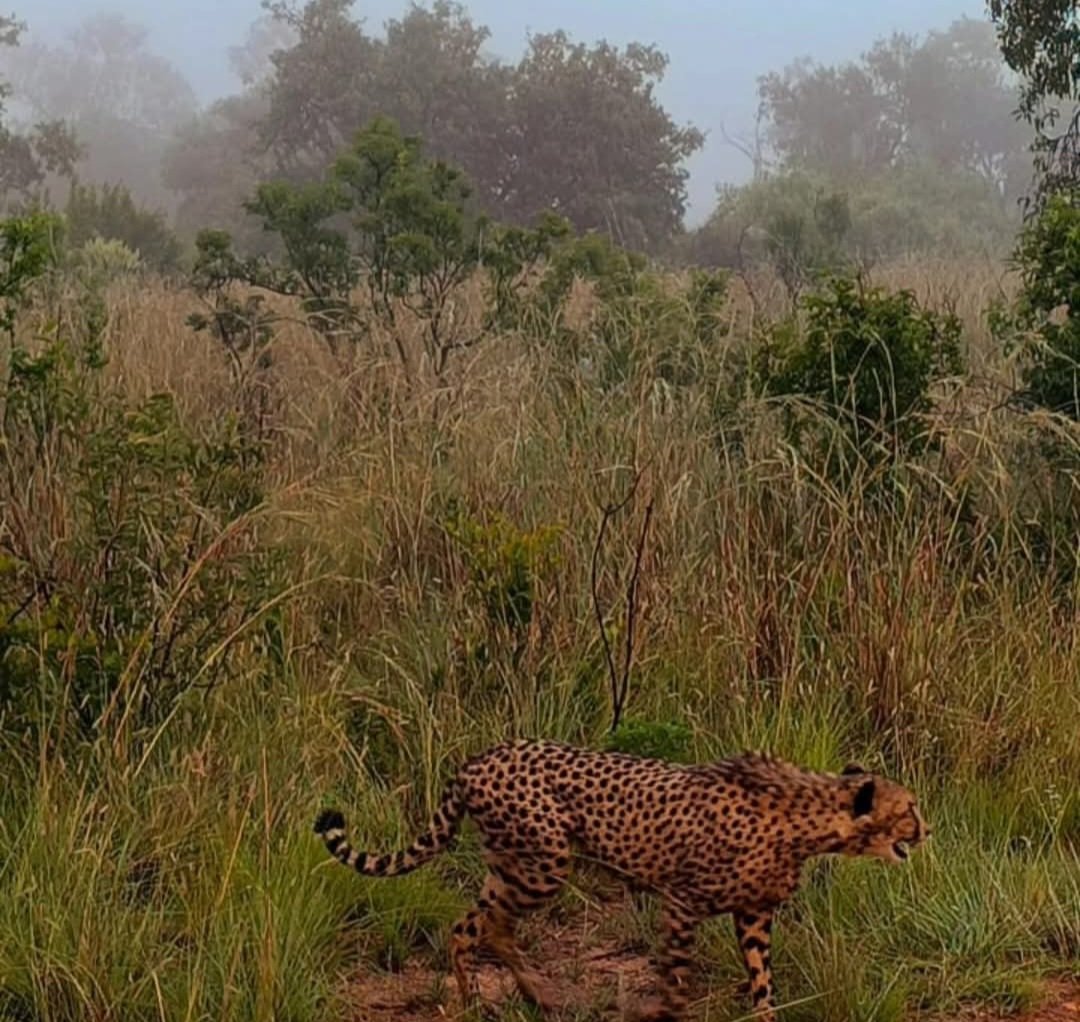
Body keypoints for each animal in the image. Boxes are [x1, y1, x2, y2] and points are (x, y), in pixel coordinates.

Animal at [314, 739, 928, 1021]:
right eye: (909, 808)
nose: (927, 830)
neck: (808, 820)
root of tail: (480, 757)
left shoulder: (753, 913)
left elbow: (762, 980)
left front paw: (766, 1014)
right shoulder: (681, 901)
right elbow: (676, 975)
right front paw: (668, 1011)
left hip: (515, 864)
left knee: (477, 924)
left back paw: (521, 996)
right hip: (543, 865)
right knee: (483, 926)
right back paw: (483, 1001)